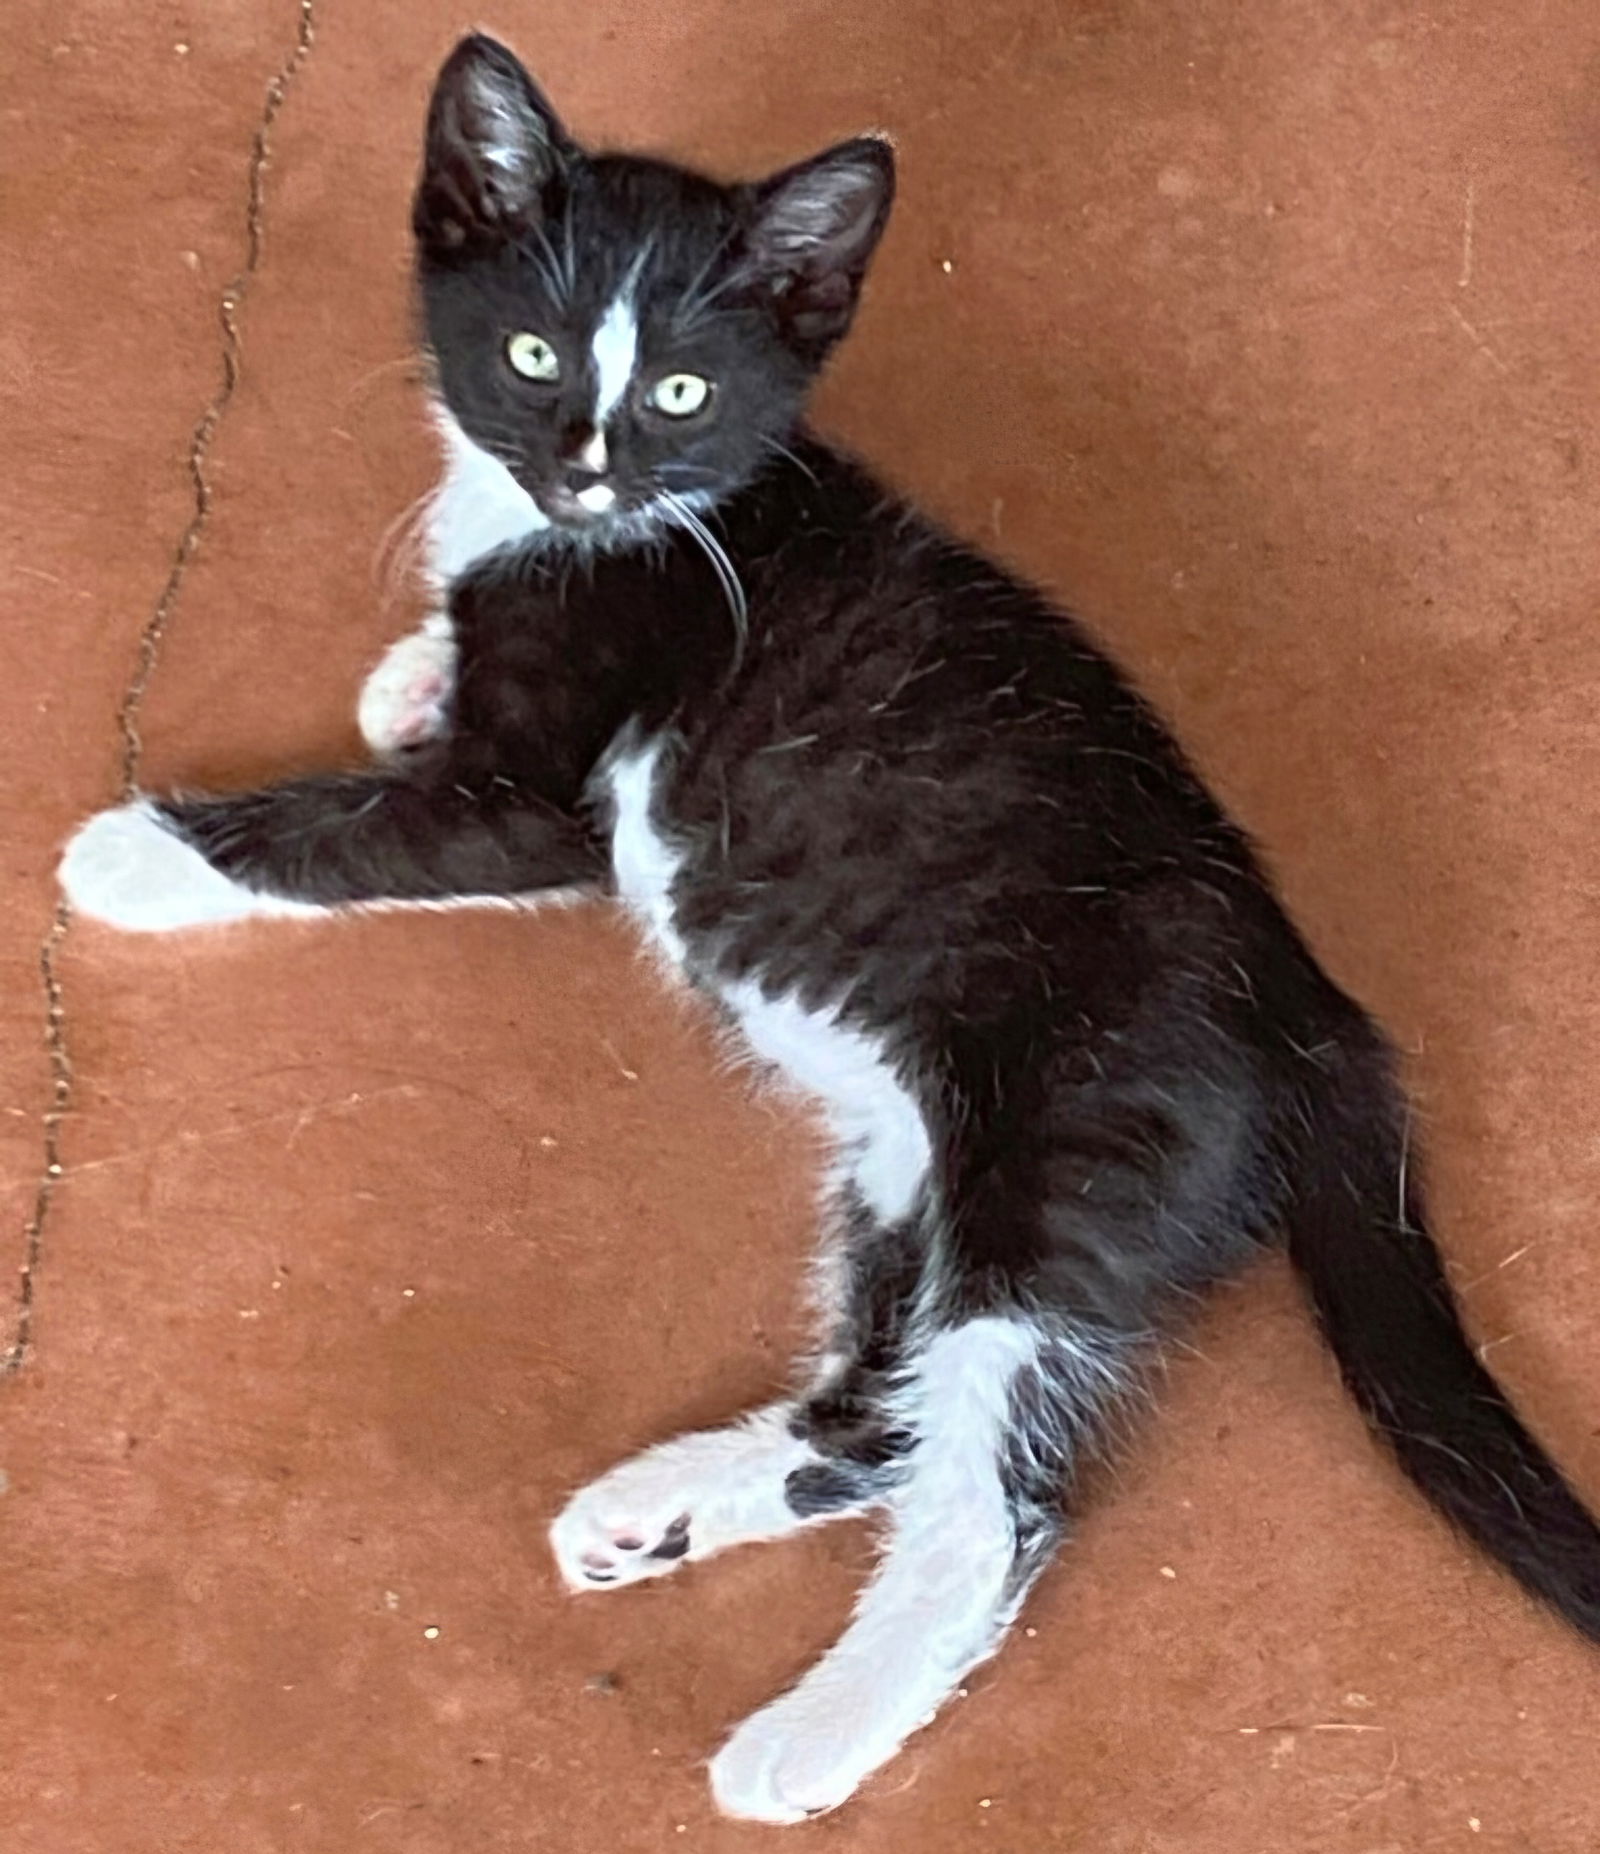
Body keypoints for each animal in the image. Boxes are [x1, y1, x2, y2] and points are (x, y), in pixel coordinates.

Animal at [59, 28, 1600, 1824]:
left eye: (679, 392)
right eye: (528, 350)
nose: (582, 463)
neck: (631, 527)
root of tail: (1315, 1001)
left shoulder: (543, 797)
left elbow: (352, 827)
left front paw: (134, 852)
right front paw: (409, 669)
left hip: (1065, 1163)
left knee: (991, 1498)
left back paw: (810, 1731)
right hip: (900, 1160)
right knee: (889, 1413)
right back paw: (661, 1505)